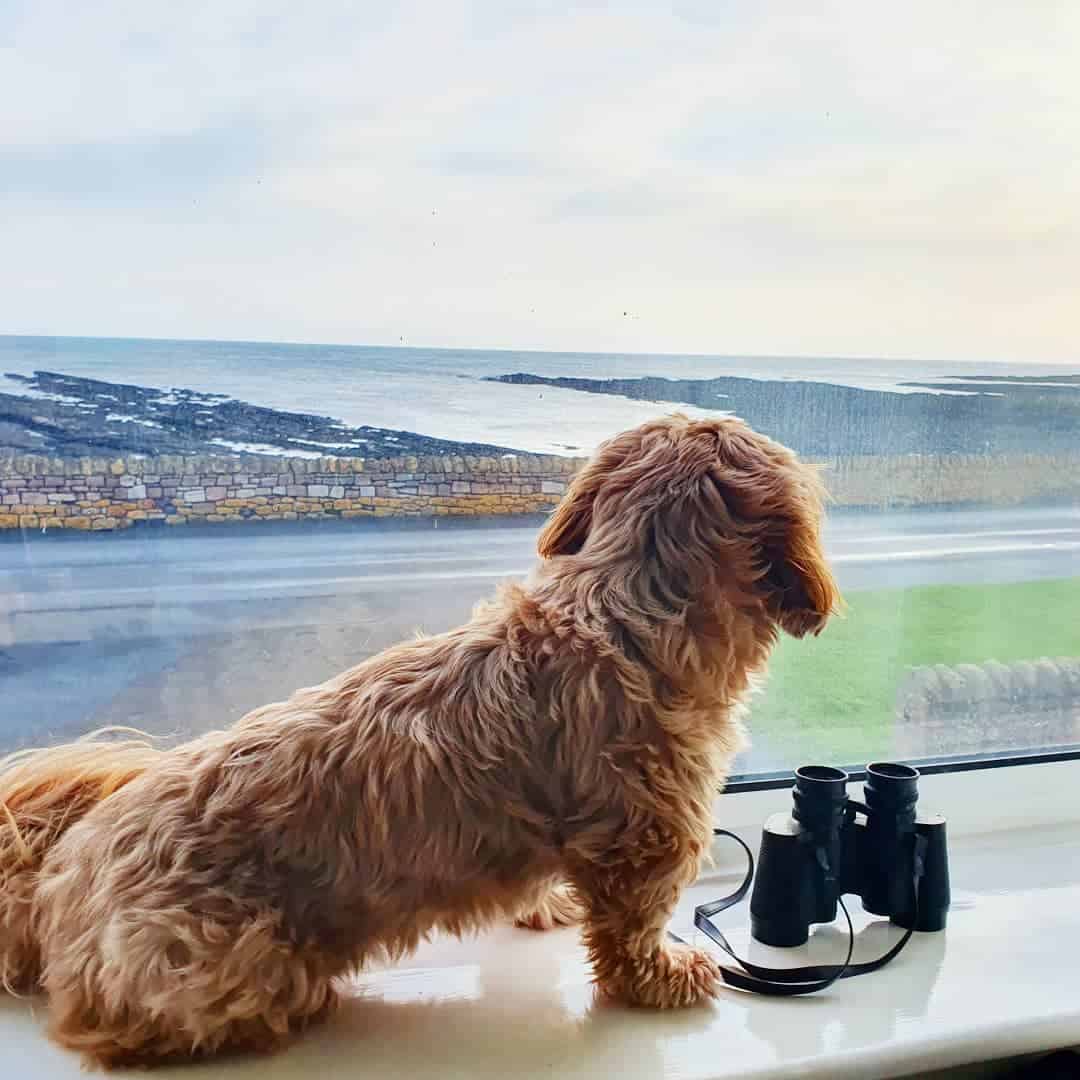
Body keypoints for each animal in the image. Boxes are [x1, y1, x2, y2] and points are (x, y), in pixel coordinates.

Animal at [0, 412, 838, 1062]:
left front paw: (546, 906)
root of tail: (54, 880)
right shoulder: (648, 838)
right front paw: (663, 975)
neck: (618, 617)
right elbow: (632, 931)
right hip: (231, 960)